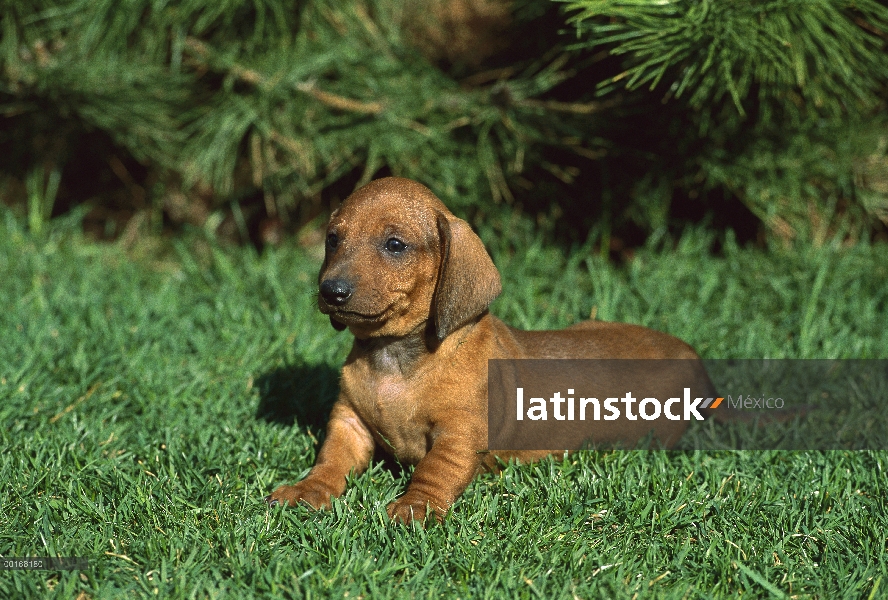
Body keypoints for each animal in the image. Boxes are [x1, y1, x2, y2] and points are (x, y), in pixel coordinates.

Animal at [268, 176, 712, 524]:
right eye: (332, 240)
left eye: (394, 244)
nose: (331, 291)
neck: (394, 358)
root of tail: (691, 354)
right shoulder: (350, 421)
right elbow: (331, 459)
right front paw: (308, 489)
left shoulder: (460, 434)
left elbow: (435, 471)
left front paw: (416, 506)